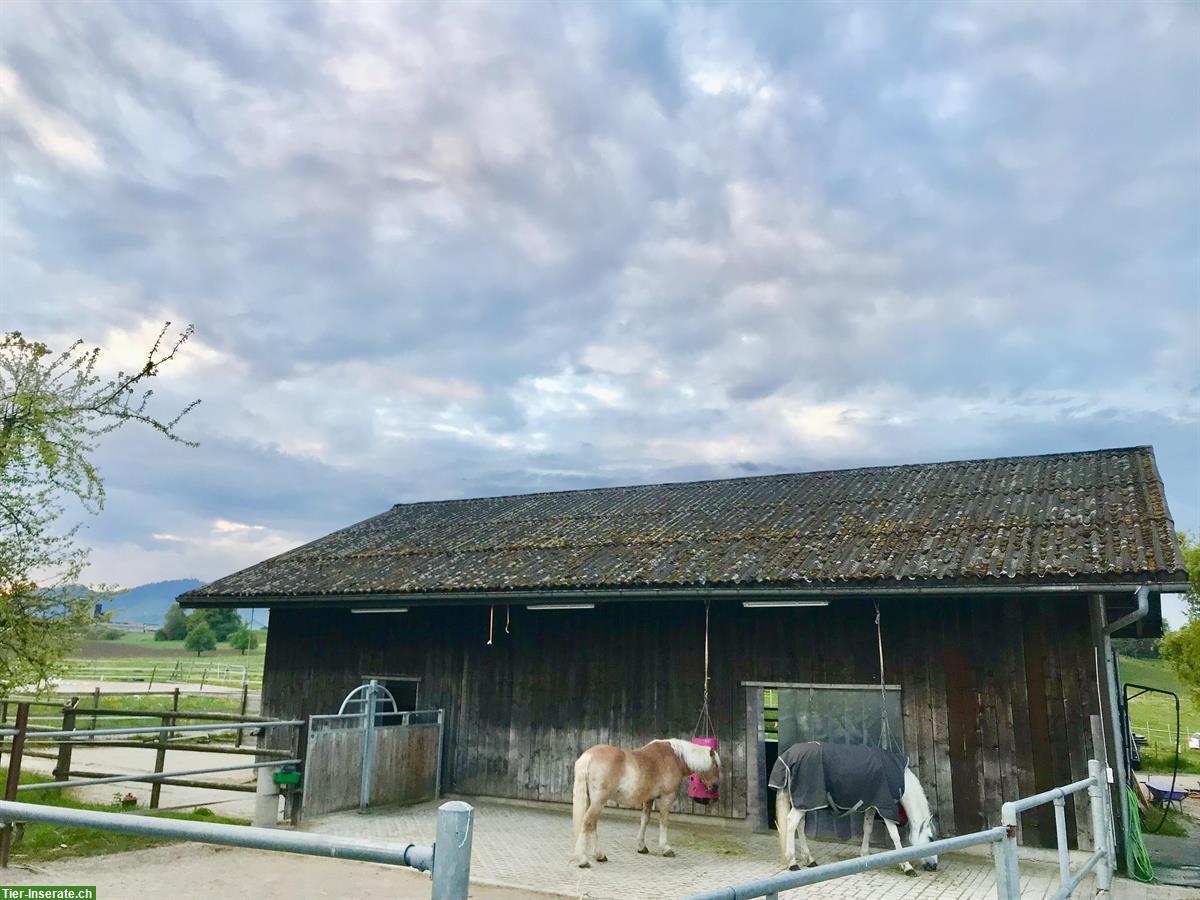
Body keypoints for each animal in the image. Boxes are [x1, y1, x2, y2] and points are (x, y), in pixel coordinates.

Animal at [768, 744, 936, 878]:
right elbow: (895, 836)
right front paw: (907, 866)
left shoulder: (871, 806)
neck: (901, 778)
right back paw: (793, 863)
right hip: (805, 801)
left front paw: (865, 855)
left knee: (800, 825)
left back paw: (810, 860)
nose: (934, 866)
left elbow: (867, 829)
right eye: (931, 839)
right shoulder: (885, 808)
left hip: (803, 803)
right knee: (791, 824)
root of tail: (788, 756)